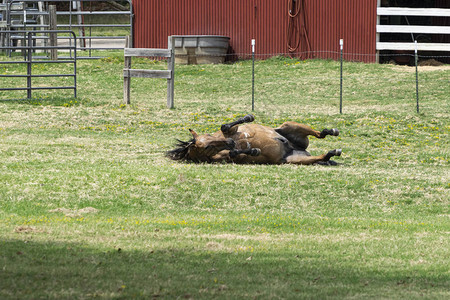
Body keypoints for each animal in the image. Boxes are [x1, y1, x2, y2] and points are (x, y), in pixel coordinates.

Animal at [168, 115, 342, 165]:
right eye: (206, 148)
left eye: (209, 138)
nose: (230, 143)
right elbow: (236, 153)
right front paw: (253, 150)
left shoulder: (232, 131)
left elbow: (225, 126)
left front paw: (248, 117)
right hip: (293, 160)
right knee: (322, 155)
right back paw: (333, 152)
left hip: (288, 125)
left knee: (320, 134)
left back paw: (331, 132)